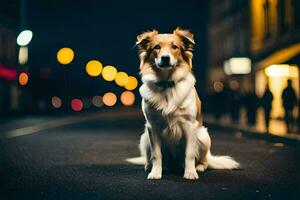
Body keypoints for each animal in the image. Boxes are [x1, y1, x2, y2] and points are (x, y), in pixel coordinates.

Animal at [136, 28, 239, 180]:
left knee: (204, 160)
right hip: (144, 137)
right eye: (157, 47)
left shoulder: (190, 125)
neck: (167, 84)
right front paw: (155, 172)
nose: (165, 58)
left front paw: (190, 173)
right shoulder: (152, 126)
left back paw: (199, 167)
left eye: (174, 47)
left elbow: (189, 154)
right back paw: (151, 166)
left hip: (203, 136)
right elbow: (156, 154)